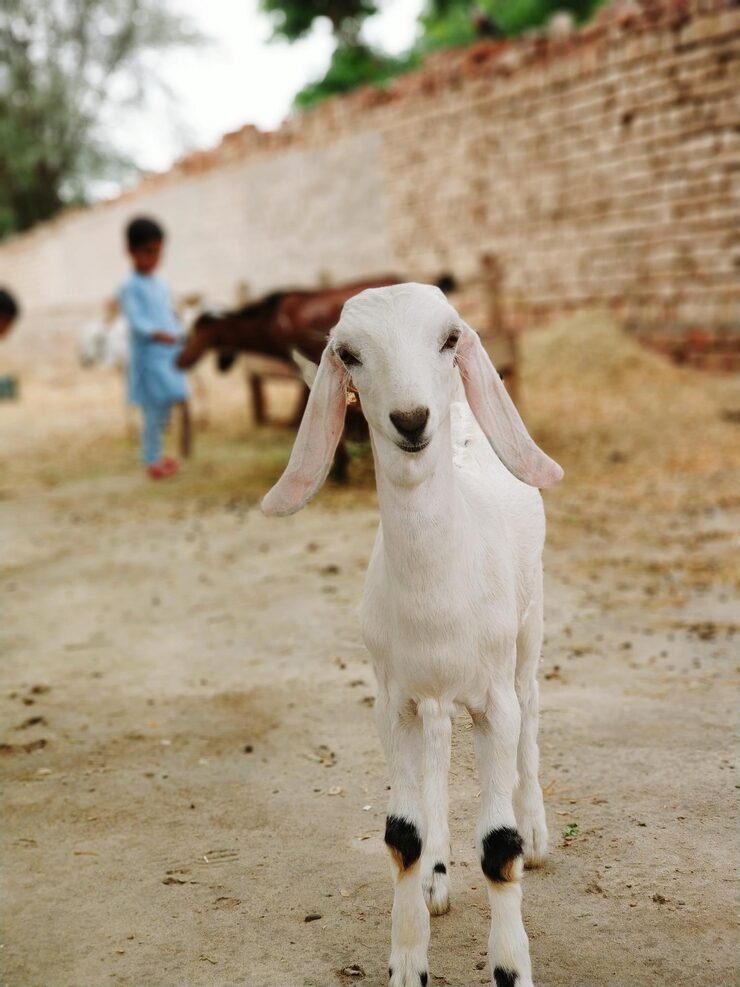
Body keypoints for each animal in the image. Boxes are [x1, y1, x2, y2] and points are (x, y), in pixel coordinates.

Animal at [262, 284, 563, 987]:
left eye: (450, 338)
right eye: (348, 353)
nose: (410, 419)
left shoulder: (493, 703)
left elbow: (498, 847)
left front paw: (511, 968)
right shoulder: (392, 701)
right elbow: (402, 835)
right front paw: (407, 958)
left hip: (529, 632)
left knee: (532, 712)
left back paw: (537, 834)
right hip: (431, 697)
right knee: (438, 758)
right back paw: (437, 877)